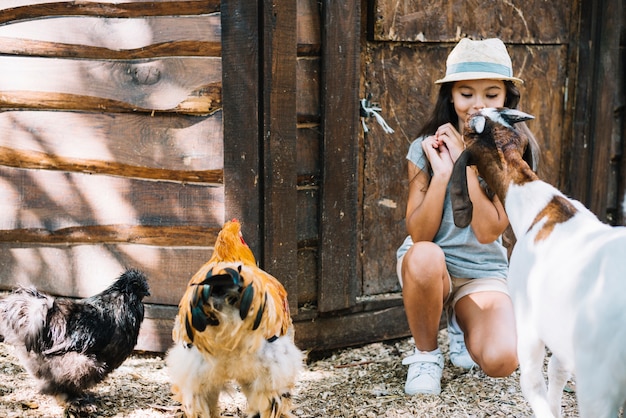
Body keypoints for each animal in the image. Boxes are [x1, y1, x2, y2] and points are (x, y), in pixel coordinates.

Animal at [448, 108, 624, 418]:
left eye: (468, 131)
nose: (471, 112)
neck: (542, 208)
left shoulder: (529, 319)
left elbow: (531, 381)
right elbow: (557, 369)